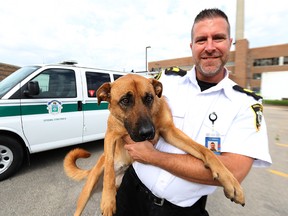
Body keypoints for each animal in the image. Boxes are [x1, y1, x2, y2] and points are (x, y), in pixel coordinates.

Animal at [63, 73, 245, 215]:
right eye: (125, 100)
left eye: (149, 98)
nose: (147, 133)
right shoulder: (110, 136)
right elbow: (108, 167)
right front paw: (107, 201)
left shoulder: (170, 132)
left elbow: (205, 151)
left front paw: (229, 180)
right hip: (86, 194)